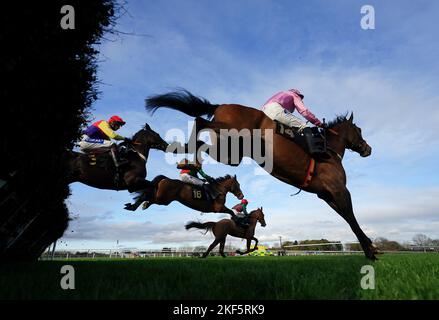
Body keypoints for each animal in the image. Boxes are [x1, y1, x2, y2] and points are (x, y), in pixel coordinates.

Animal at [144, 90, 378, 260]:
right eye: (359, 130)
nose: (368, 149)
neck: (330, 150)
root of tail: (222, 105)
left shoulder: (327, 195)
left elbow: (347, 218)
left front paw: (369, 247)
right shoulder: (339, 190)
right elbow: (352, 218)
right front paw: (370, 251)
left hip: (231, 152)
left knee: (203, 139)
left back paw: (185, 154)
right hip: (230, 134)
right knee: (200, 121)